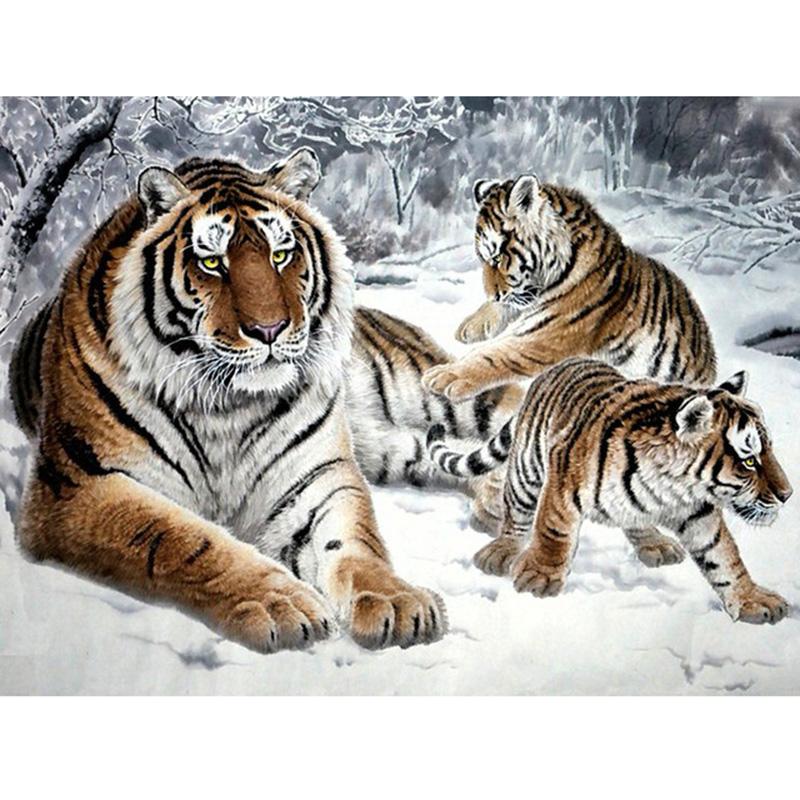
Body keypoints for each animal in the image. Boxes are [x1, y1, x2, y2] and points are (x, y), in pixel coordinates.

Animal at [9, 147, 462, 654]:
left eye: (281, 255)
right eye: (212, 263)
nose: (269, 330)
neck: (226, 404)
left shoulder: (316, 476)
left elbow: (354, 542)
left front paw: (396, 601)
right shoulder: (77, 487)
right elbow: (184, 540)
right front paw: (281, 605)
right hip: (399, 449)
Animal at [423, 174, 717, 402]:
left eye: (496, 257)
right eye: (483, 259)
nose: (492, 294)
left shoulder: (546, 338)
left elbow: (493, 355)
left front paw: (444, 375)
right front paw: (469, 326)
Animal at [426, 357, 793, 625]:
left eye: (768, 450)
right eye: (749, 460)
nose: (788, 494)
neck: (673, 485)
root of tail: (559, 366)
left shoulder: (699, 512)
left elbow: (725, 557)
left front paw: (751, 599)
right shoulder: (563, 481)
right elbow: (554, 531)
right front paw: (539, 576)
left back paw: (655, 544)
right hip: (526, 470)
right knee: (516, 513)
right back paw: (501, 550)